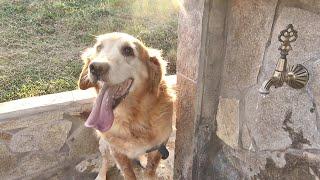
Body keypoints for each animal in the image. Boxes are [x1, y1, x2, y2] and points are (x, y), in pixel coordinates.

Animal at [79, 32, 176, 180]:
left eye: (128, 50)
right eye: (98, 47)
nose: (96, 67)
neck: (133, 119)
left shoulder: (160, 145)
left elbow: (151, 169)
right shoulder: (116, 150)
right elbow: (128, 172)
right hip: (104, 144)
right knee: (105, 160)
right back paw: (101, 175)